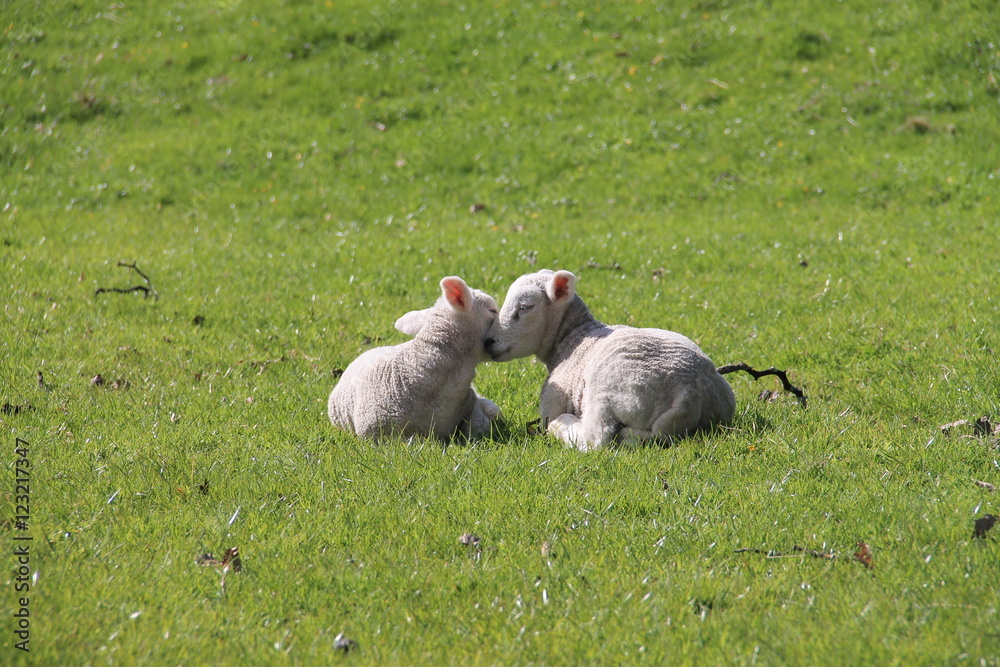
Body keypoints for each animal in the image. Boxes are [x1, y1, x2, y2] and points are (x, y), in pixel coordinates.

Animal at [485, 269, 735, 451]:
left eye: (525, 307)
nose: (488, 341)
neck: (574, 338)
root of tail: (690, 395)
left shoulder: (554, 398)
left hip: (606, 394)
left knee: (595, 439)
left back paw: (563, 426)